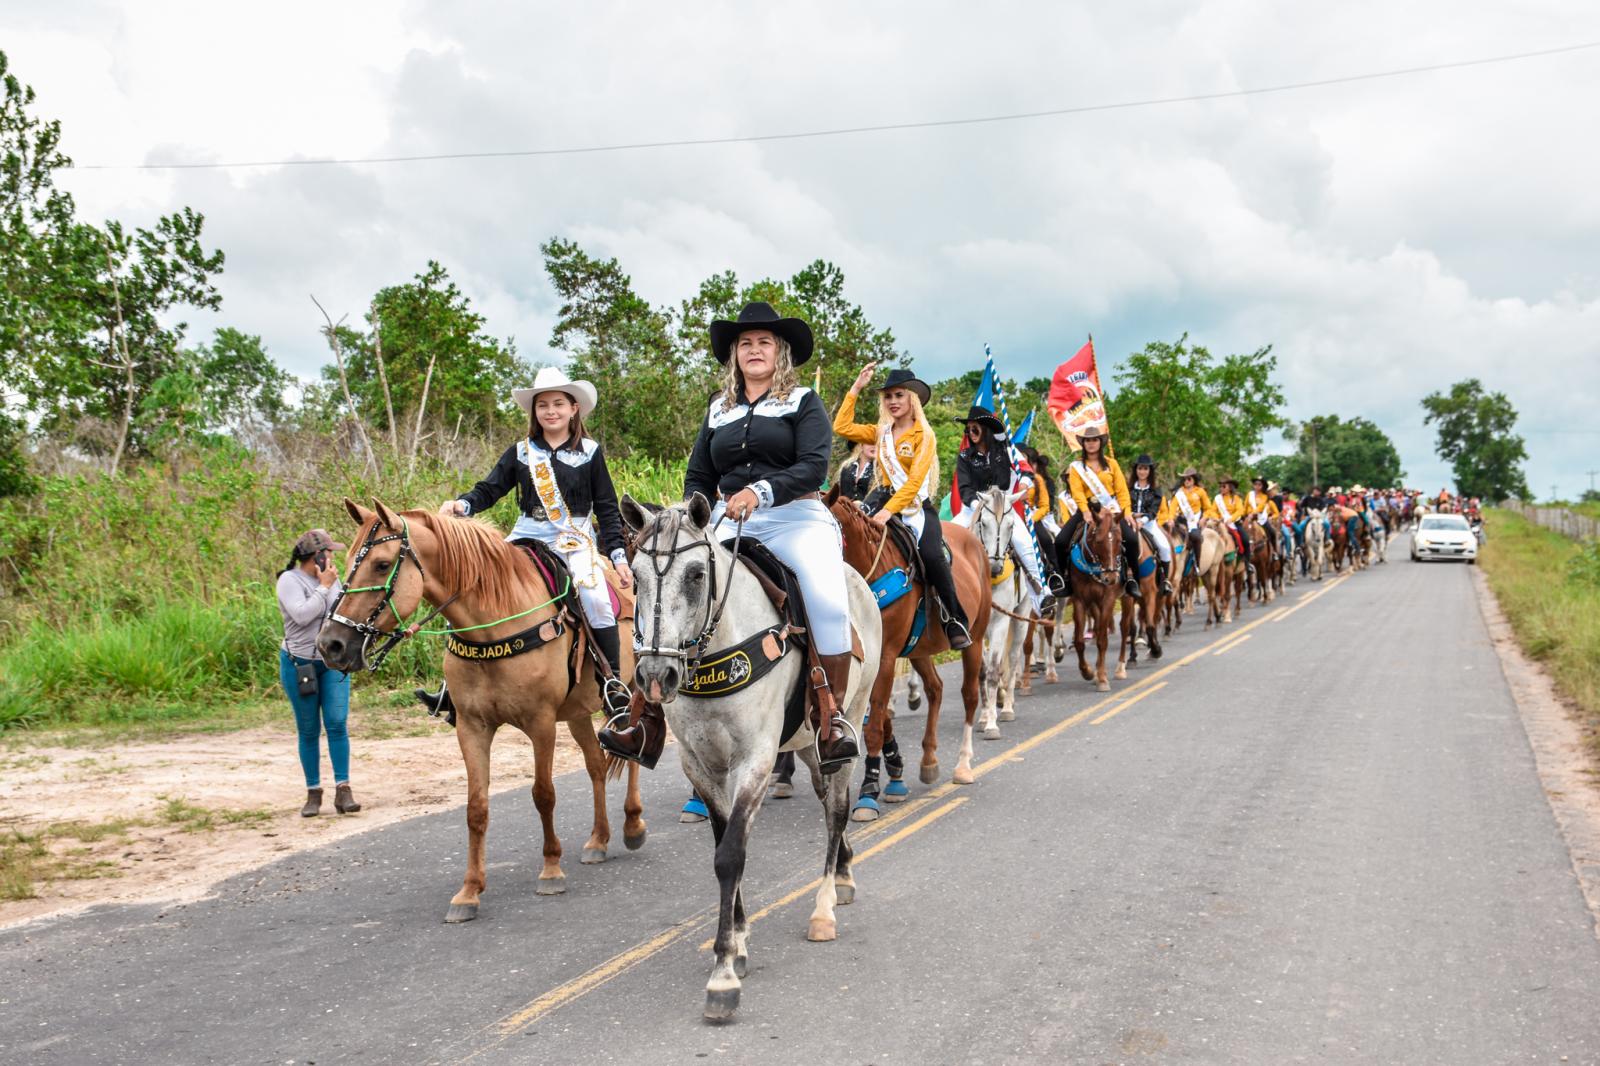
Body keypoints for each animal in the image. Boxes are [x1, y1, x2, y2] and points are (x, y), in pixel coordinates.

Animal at [318, 499, 643, 921]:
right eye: (346, 563)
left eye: (381, 563)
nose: (331, 644)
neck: (492, 624)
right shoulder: (472, 727)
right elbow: (476, 808)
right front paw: (469, 891)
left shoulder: (541, 724)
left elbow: (543, 794)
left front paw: (551, 869)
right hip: (576, 713)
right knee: (596, 766)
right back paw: (598, 839)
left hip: (629, 693)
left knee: (631, 751)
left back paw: (633, 824)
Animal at [617, 492, 883, 1017]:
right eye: (634, 577)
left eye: (697, 574)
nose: (655, 676)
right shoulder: (700, 766)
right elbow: (723, 843)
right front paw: (737, 940)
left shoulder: (754, 761)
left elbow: (731, 855)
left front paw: (723, 974)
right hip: (807, 744)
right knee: (826, 799)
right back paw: (843, 871)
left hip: (848, 723)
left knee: (837, 809)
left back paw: (825, 905)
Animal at [825, 486, 985, 793]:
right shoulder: (876, 660)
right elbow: (879, 715)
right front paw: (893, 763)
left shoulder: (886, 656)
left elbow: (874, 723)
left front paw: (870, 785)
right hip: (919, 649)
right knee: (935, 689)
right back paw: (929, 760)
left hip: (977, 638)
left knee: (970, 696)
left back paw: (963, 765)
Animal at [966, 486, 1030, 736]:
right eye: (983, 523)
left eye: (1011, 526)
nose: (995, 567)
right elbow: (982, 671)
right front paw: (984, 716)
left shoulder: (1001, 622)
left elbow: (994, 670)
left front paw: (992, 723)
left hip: (1021, 617)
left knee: (1012, 659)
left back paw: (1008, 706)